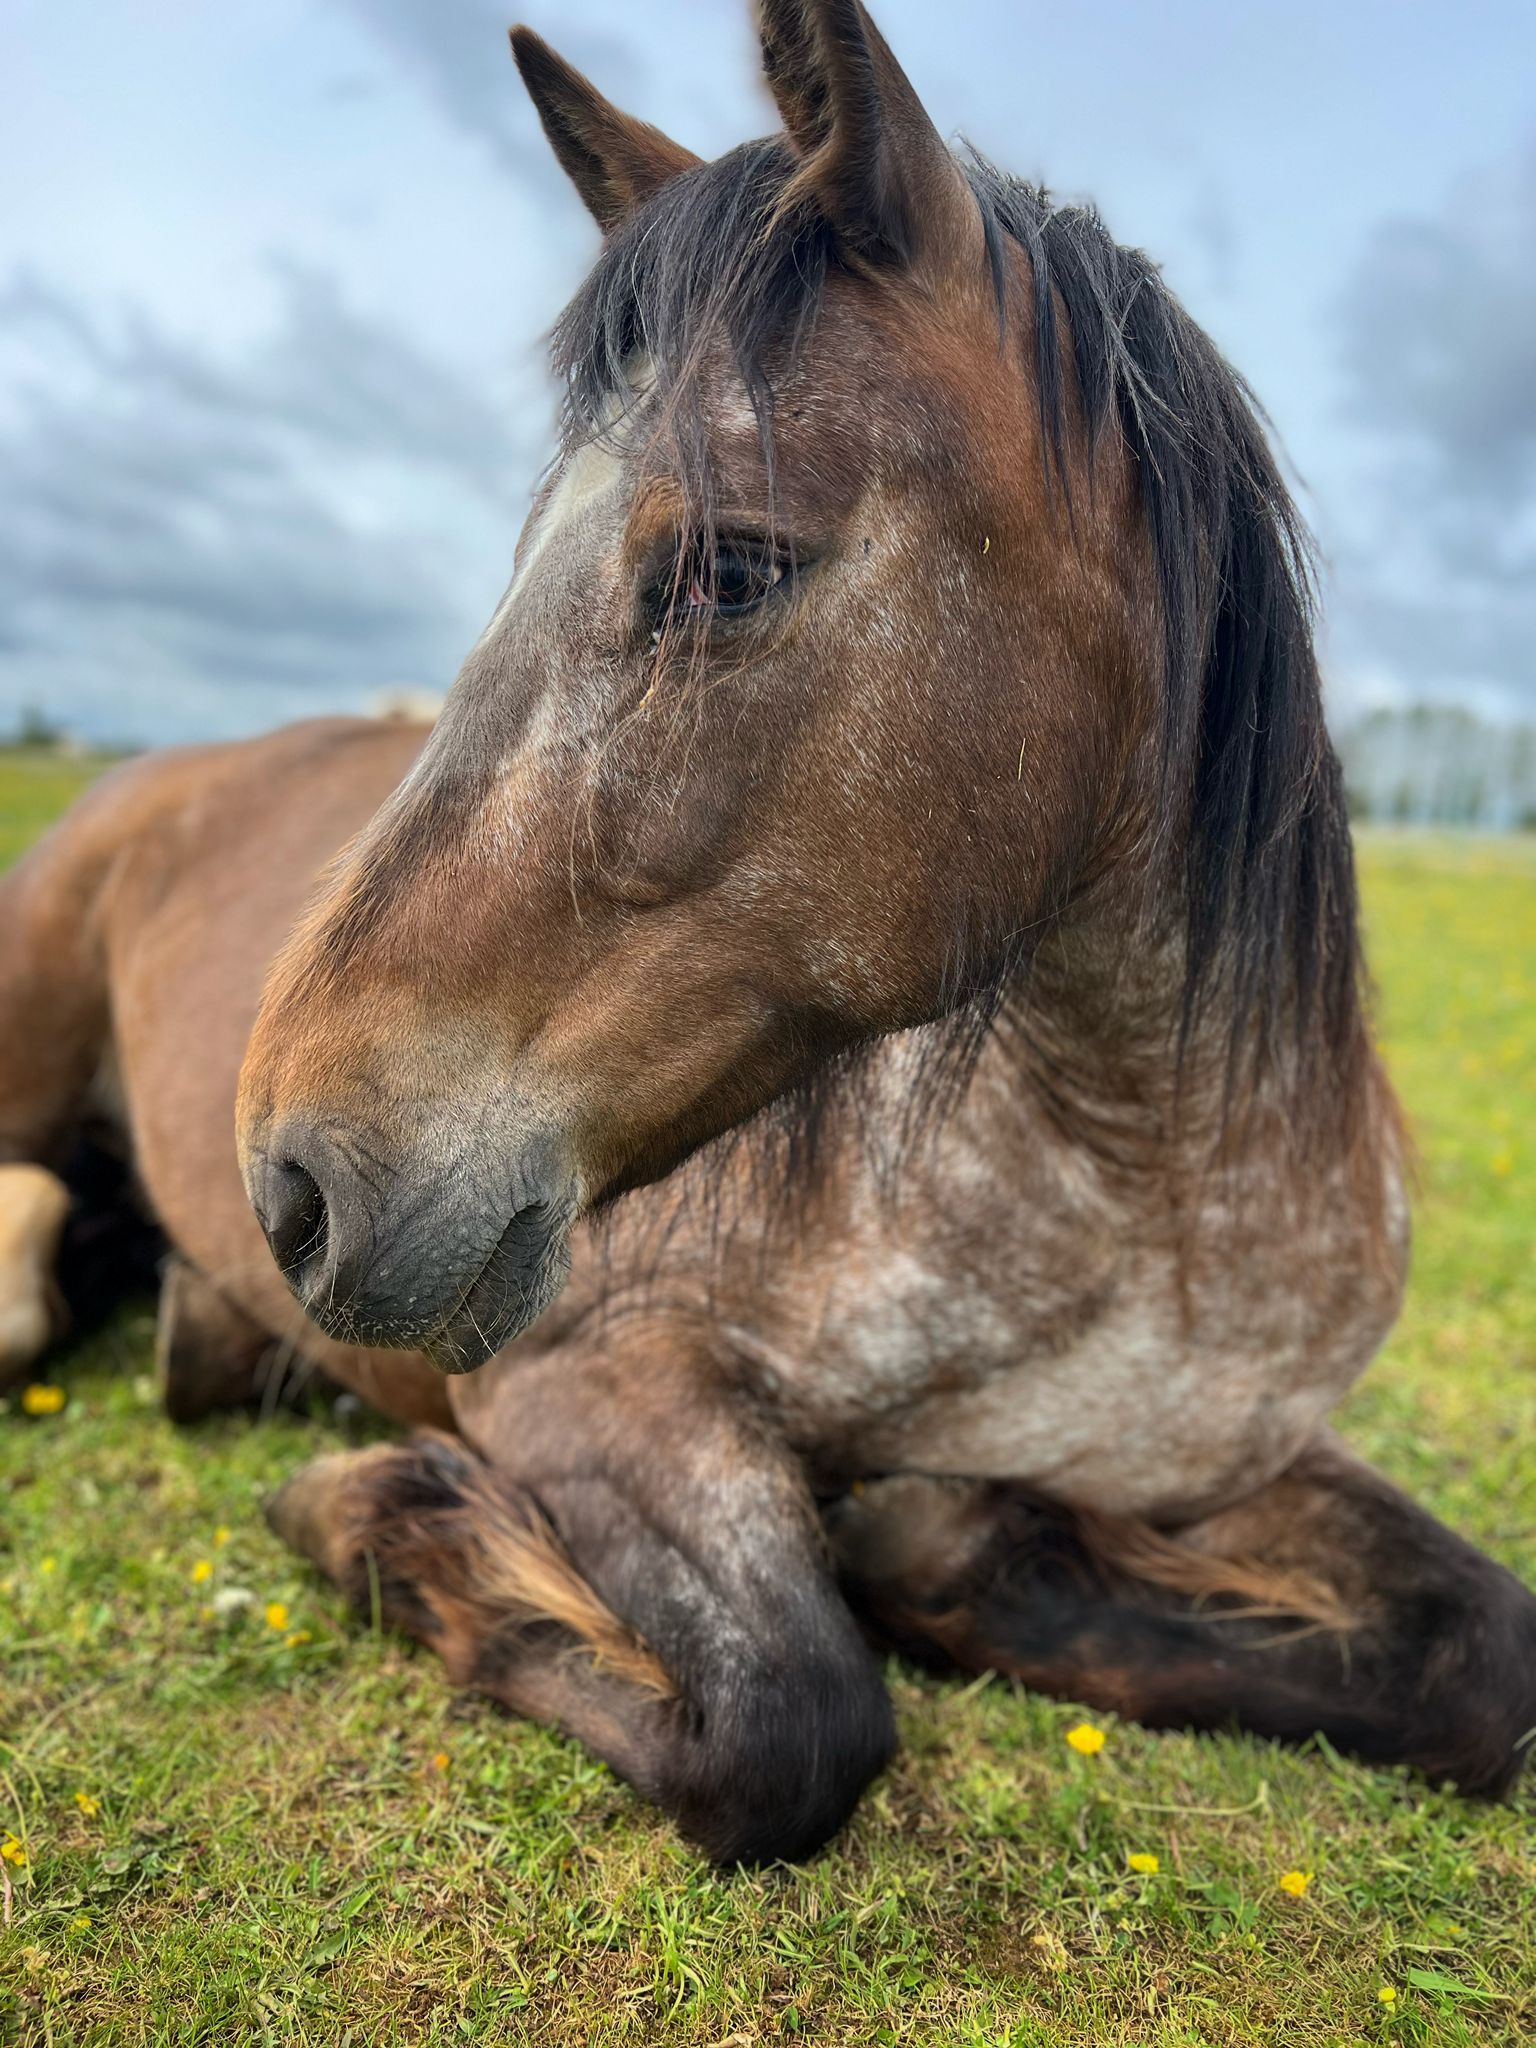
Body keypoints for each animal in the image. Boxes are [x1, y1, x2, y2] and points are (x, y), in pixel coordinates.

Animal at [3, 0, 1533, 1865]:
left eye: (730, 567)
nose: (290, 1181)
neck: (1124, 1184)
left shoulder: (1230, 1453)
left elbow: (1481, 1653)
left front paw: (969, 1543)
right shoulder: (579, 1379)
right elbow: (790, 1719)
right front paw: (382, 1510)